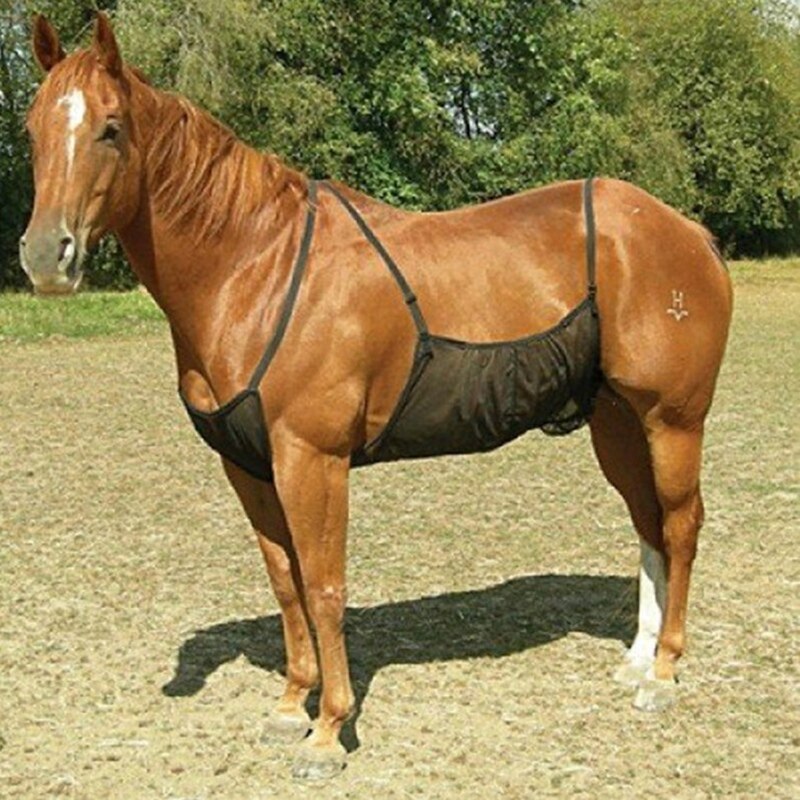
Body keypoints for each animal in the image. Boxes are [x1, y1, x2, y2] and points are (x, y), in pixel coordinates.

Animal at [21, 14, 732, 780]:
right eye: (31, 129)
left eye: (111, 128)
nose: (46, 256)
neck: (256, 267)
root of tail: (688, 231)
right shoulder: (248, 466)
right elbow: (285, 581)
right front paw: (289, 706)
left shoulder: (312, 459)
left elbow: (324, 586)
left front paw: (329, 730)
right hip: (618, 424)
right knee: (648, 526)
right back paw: (638, 660)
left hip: (673, 420)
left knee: (681, 526)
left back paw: (665, 673)